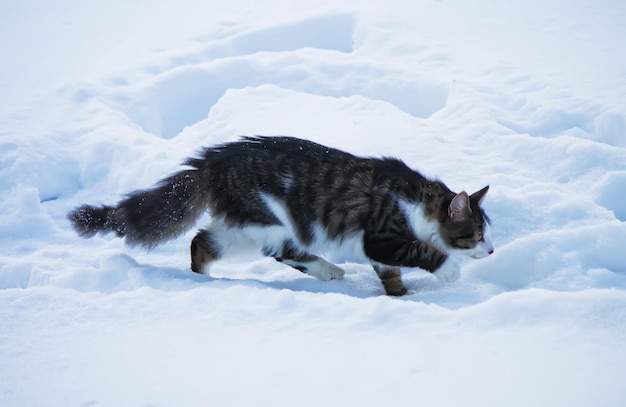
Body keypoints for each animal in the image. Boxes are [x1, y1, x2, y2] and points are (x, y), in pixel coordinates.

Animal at [66, 137, 490, 296]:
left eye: (486, 233)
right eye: (476, 235)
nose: (491, 251)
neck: (416, 200)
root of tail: (211, 161)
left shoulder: (379, 249)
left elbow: (392, 275)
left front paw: (401, 296)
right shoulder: (382, 236)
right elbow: (422, 251)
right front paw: (449, 272)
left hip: (241, 228)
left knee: (201, 241)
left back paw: (203, 280)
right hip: (268, 220)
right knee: (281, 253)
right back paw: (327, 271)